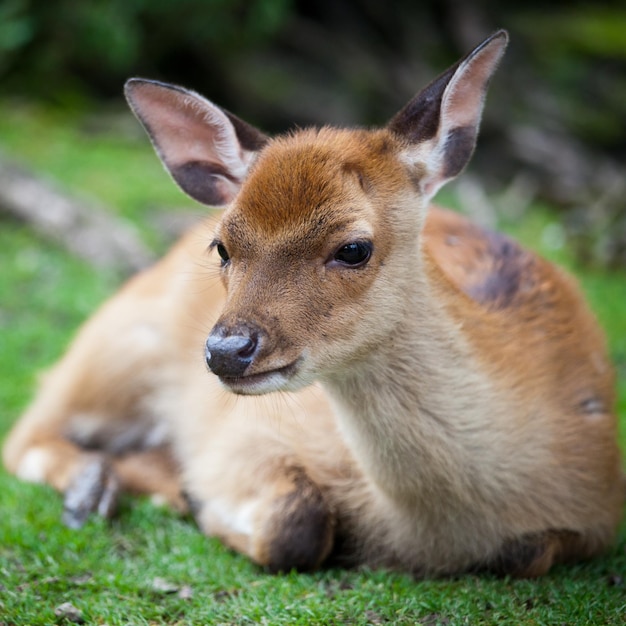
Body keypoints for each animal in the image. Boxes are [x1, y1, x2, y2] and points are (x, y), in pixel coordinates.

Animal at [2, 29, 620, 576]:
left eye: (354, 248)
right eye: (222, 245)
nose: (227, 350)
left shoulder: (596, 517)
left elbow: (531, 552)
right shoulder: (247, 436)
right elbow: (293, 527)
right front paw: (194, 497)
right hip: (113, 346)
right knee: (28, 431)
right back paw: (103, 489)